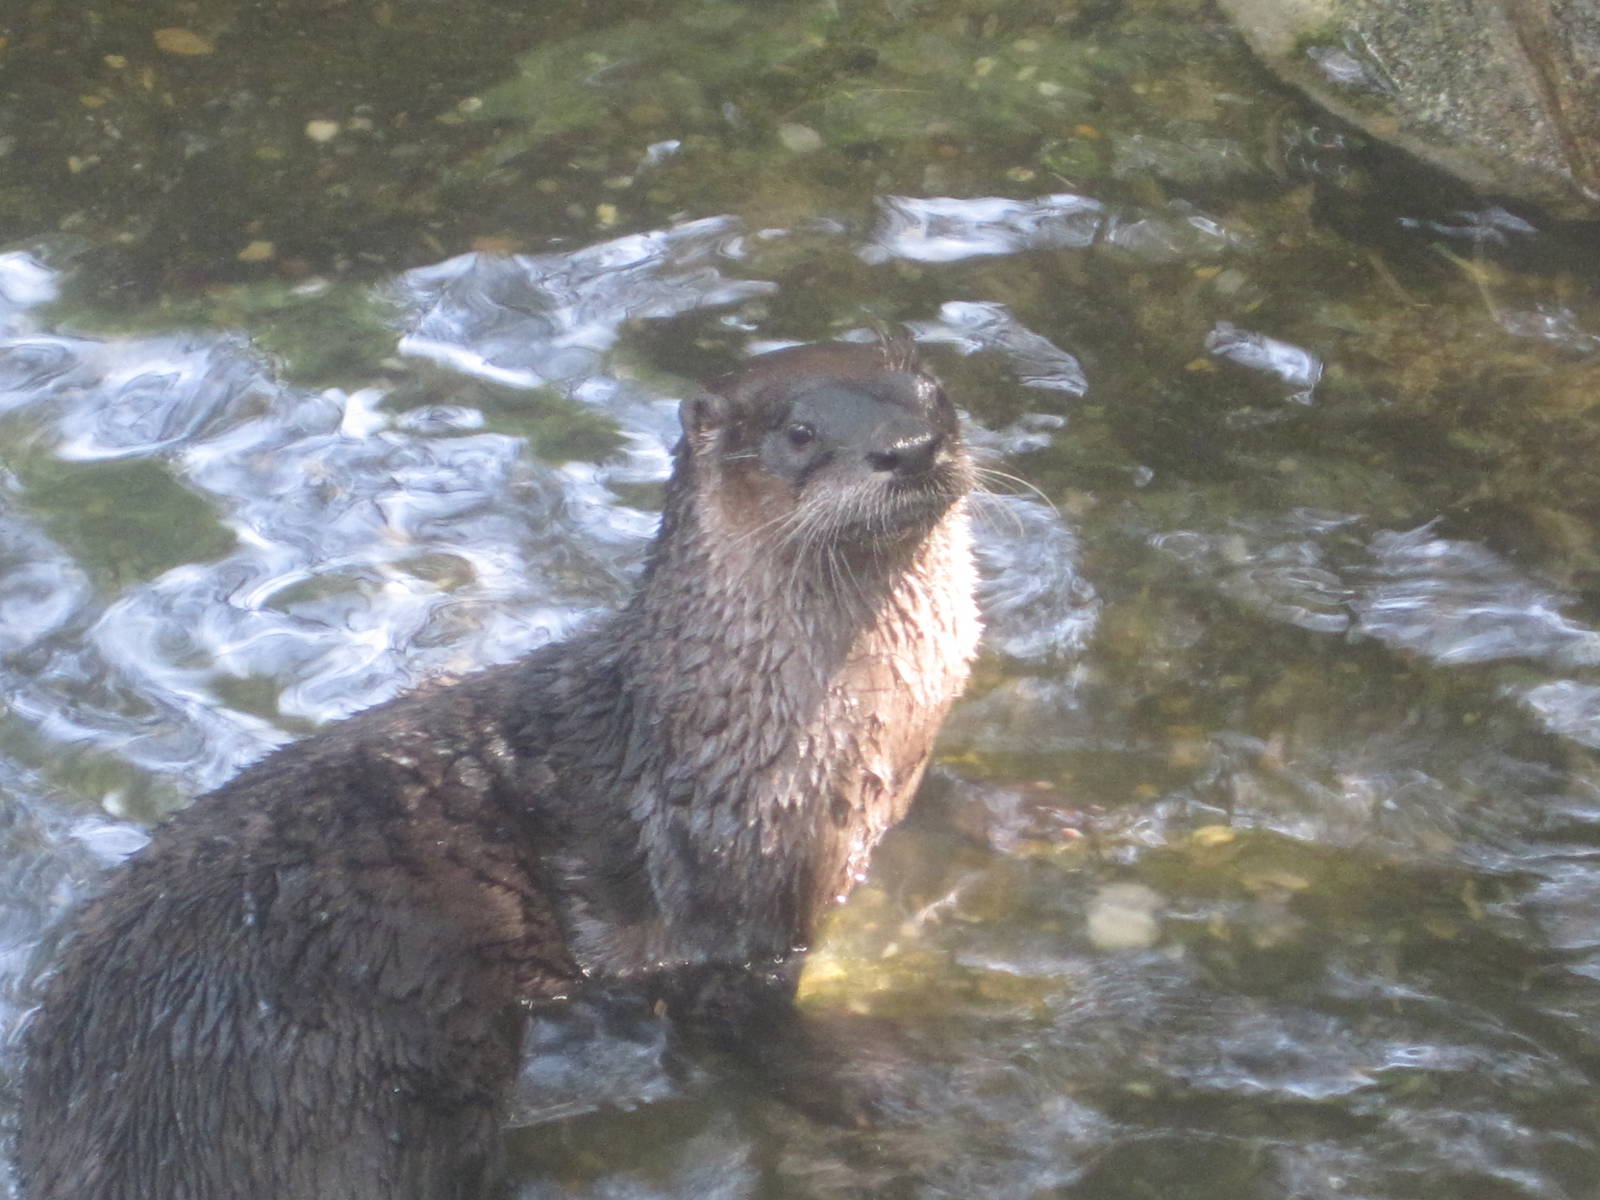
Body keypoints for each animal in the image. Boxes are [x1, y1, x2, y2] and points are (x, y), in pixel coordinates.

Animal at [16, 340, 980, 1200]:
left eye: (934, 392)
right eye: (801, 432)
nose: (910, 446)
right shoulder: (728, 911)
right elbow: (742, 1023)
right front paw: (861, 1088)